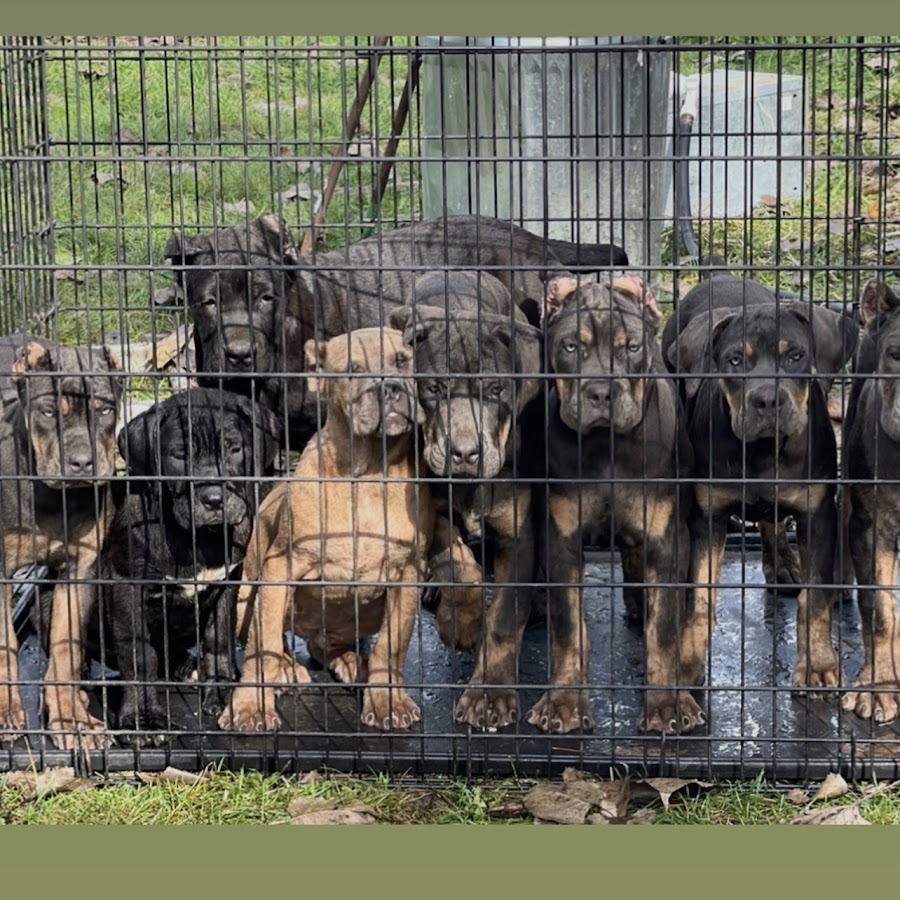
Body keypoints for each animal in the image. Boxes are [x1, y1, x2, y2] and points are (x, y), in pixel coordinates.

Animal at [0, 334, 125, 748]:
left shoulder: (79, 569)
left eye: (105, 410)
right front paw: (6, 712)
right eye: (48, 412)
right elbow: (4, 646)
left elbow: (65, 648)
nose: (82, 463)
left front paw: (73, 720)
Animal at [103, 384, 278, 740]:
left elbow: (219, 640)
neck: (199, 538)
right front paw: (142, 717)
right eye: (179, 455)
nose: (213, 499)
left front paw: (222, 691)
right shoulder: (125, 586)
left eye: (235, 449)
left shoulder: (227, 583)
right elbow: (139, 655)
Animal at [221, 326, 436, 736]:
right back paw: (288, 670)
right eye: (352, 370)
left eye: (403, 360)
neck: (368, 473)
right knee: (272, 640)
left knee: (330, 646)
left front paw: (387, 700)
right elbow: (262, 647)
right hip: (244, 599)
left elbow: (391, 646)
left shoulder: (407, 575)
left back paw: (352, 662)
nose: (390, 389)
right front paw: (251, 707)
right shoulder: (279, 569)